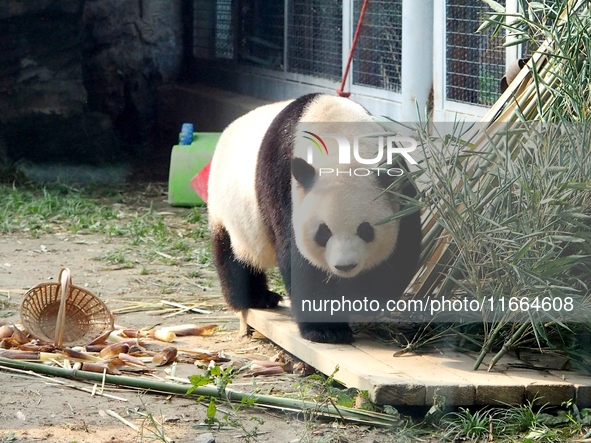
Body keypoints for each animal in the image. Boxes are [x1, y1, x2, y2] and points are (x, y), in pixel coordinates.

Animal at [207, 93, 420, 344]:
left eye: (365, 229)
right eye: (323, 232)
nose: (345, 266)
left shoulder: (399, 186)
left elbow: (400, 251)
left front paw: (361, 301)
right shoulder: (285, 187)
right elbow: (299, 260)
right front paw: (327, 330)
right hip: (226, 209)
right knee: (234, 255)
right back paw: (255, 298)